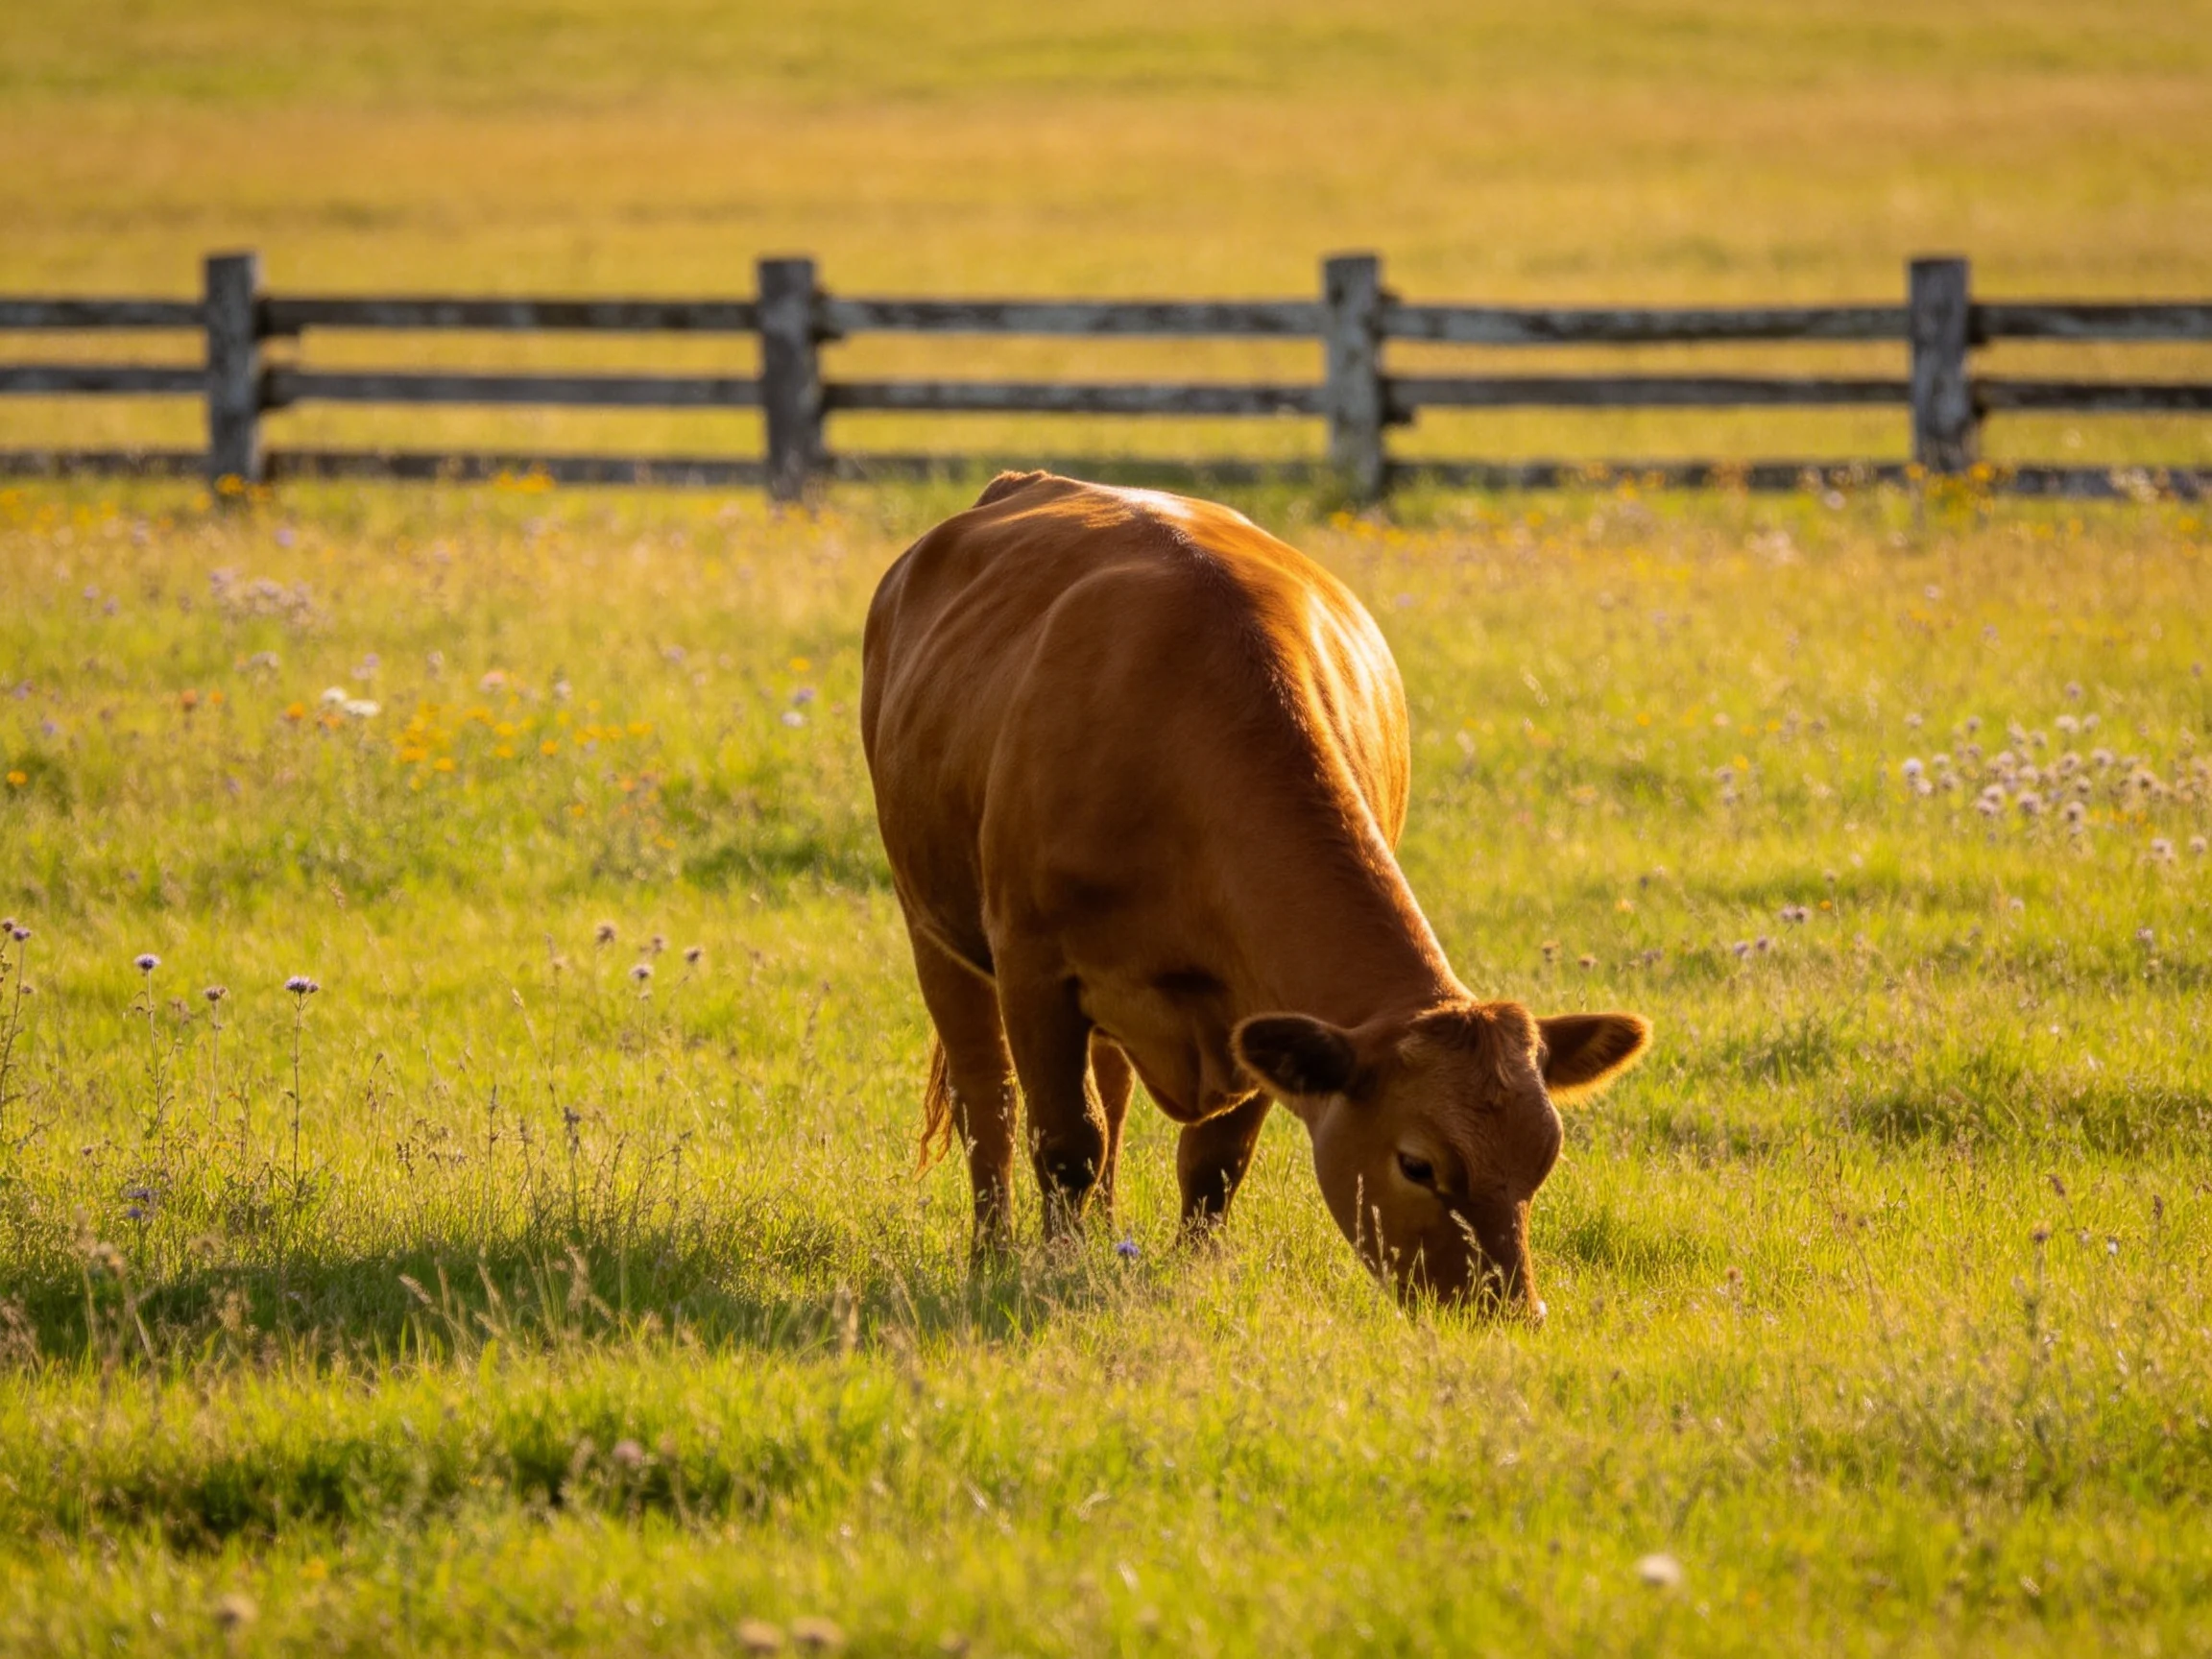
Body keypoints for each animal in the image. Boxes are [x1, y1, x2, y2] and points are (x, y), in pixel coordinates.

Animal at [860, 471, 1649, 1313]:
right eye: (1418, 1165)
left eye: (1544, 1158)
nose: (1506, 1309)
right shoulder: (1033, 966)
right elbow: (1064, 1139)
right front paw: (1049, 1269)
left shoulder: (1260, 1008)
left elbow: (1215, 1158)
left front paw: (1187, 1270)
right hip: (932, 926)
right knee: (990, 1099)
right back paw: (995, 1250)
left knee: (1111, 1090)